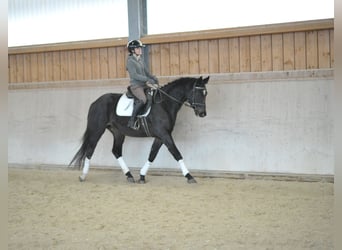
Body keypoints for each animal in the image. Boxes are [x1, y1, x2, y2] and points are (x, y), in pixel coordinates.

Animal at [69, 76, 208, 184]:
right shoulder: (164, 134)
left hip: (118, 132)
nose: (202, 113)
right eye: (198, 93)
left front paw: (142, 176)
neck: (164, 104)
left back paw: (129, 175)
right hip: (97, 130)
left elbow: (152, 155)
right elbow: (176, 153)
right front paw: (189, 176)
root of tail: (95, 102)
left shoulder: (160, 136)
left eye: (205, 93)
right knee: (90, 150)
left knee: (116, 151)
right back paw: (83, 176)